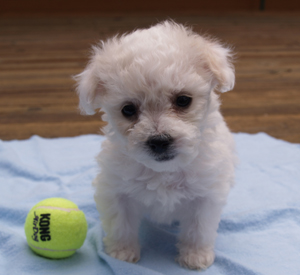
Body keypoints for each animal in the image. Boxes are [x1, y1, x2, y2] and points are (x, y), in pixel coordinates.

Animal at [76, 21, 236, 272]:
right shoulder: (115, 190)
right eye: (128, 110)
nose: (159, 141)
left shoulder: (206, 195)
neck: (163, 171)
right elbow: (120, 224)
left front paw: (196, 256)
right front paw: (122, 252)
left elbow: (198, 228)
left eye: (183, 100)